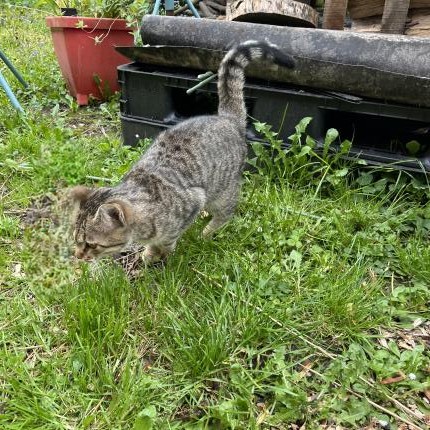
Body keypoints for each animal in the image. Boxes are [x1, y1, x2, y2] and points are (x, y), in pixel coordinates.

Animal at [70, 40, 295, 262]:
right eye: (75, 239)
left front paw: (160, 252)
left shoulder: (193, 201)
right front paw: (150, 251)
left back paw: (207, 232)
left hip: (222, 191)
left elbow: (169, 239)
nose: (78, 255)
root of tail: (226, 118)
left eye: (91, 244)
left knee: (226, 213)